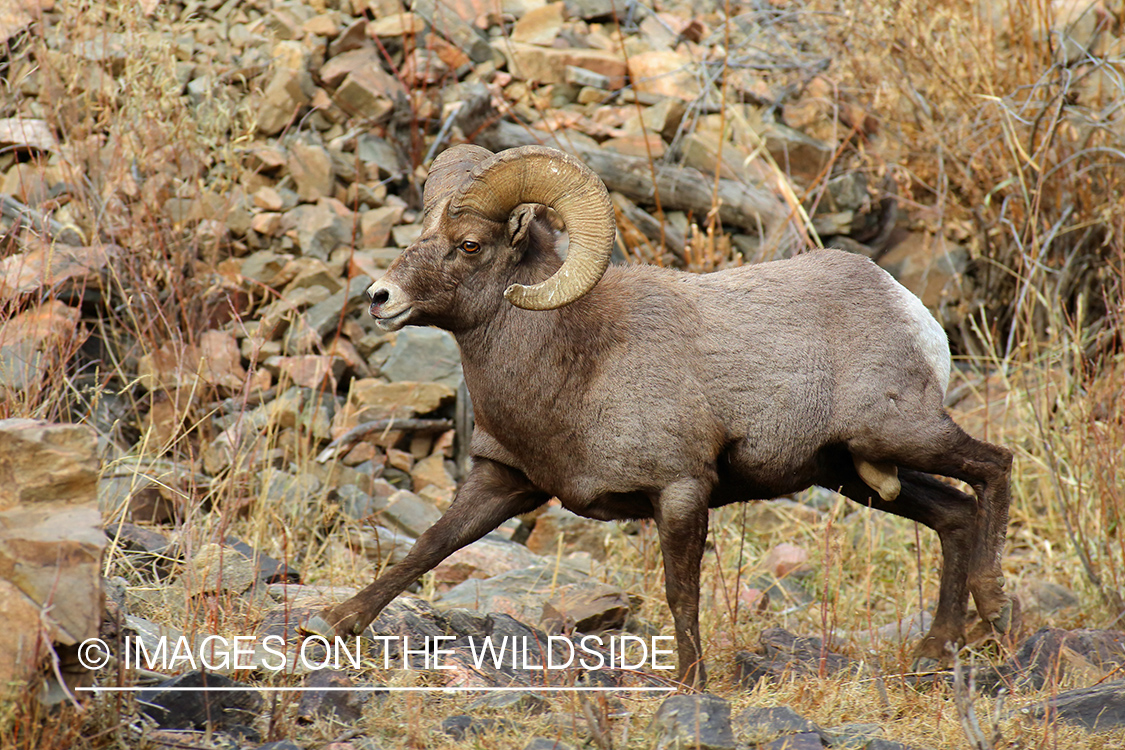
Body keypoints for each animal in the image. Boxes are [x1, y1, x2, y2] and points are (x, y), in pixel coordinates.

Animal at [306, 144, 1014, 687]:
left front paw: (689, 683)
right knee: (955, 514)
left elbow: (682, 592)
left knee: (994, 468)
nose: (380, 298)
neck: (576, 360)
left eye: (471, 245)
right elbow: (429, 547)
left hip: (900, 436)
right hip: (853, 474)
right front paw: (334, 624)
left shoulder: (679, 492)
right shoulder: (502, 483)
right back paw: (935, 649)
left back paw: (994, 612)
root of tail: (911, 311)